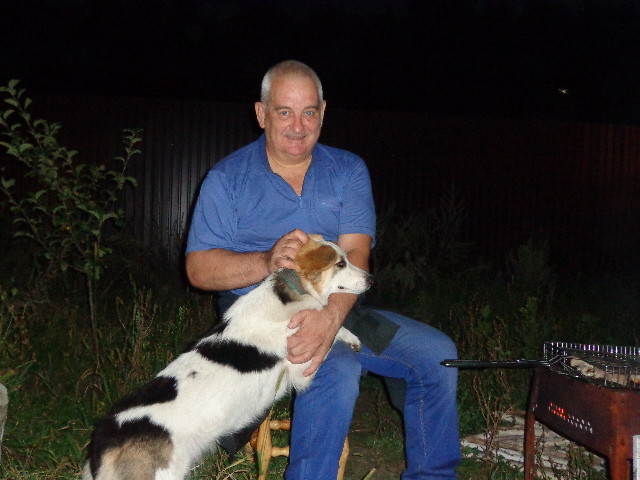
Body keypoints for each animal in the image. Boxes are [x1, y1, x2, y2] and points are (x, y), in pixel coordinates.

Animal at [83, 234, 372, 480]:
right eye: (341, 263)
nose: (371, 280)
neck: (291, 291)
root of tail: (105, 439)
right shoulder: (301, 371)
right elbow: (328, 334)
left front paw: (352, 337)